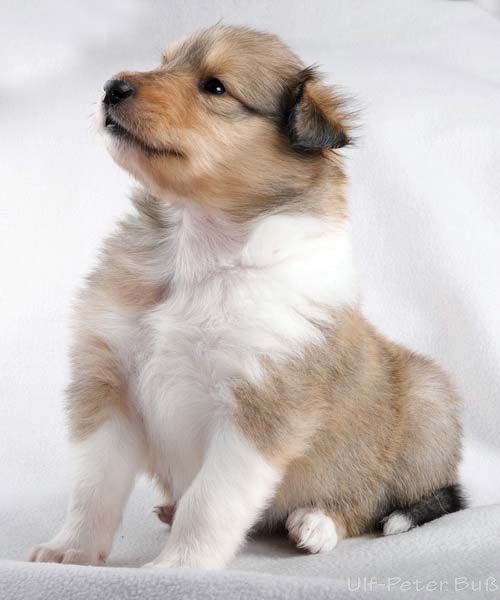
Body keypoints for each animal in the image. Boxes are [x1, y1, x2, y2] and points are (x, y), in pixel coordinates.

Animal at [29, 25, 464, 569]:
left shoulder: (259, 405)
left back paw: (314, 524)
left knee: (373, 503)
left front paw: (179, 565)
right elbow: (93, 488)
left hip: (427, 403)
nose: (112, 87)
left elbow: (210, 500)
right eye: (164, 62)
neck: (195, 256)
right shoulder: (108, 383)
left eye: (215, 86)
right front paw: (71, 549)